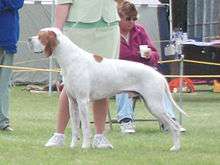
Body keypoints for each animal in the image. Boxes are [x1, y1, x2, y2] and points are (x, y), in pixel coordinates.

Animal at [28, 27, 187, 151]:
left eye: (41, 36)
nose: (29, 39)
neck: (70, 59)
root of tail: (159, 75)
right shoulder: (72, 102)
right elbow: (74, 128)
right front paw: (73, 146)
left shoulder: (83, 101)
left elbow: (85, 128)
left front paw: (85, 147)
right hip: (151, 104)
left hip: (155, 105)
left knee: (174, 126)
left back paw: (176, 148)